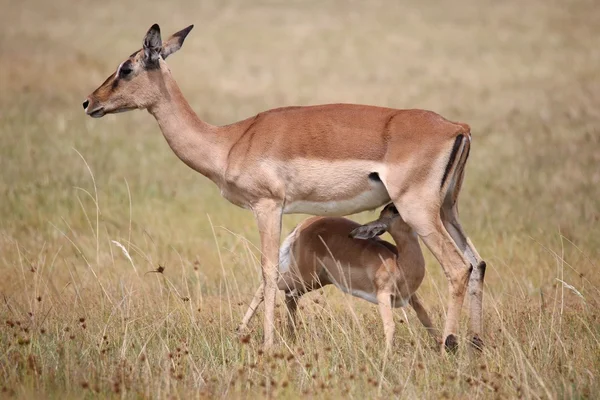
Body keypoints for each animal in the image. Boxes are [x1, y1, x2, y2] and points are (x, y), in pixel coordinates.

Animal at [238, 205, 440, 348]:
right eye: (395, 210)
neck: (398, 263)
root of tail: (302, 225)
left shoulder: (411, 297)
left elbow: (427, 319)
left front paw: (443, 350)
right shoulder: (383, 295)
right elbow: (390, 326)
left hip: (315, 281)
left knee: (290, 296)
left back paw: (291, 337)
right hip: (305, 277)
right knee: (267, 286)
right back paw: (241, 330)